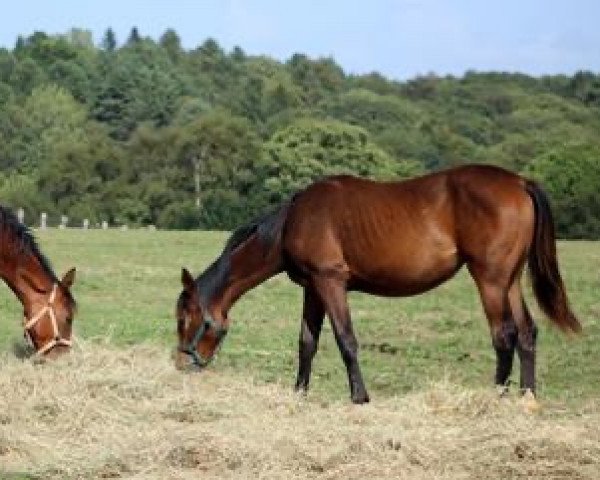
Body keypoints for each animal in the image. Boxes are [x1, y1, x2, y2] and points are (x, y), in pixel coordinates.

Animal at [176, 164, 580, 402]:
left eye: (184, 319)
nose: (181, 363)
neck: (293, 221)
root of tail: (520, 182)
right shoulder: (313, 289)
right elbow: (307, 342)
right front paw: (299, 392)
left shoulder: (330, 283)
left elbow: (346, 340)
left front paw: (360, 397)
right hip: (510, 281)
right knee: (527, 333)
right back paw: (527, 397)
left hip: (490, 279)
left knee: (505, 335)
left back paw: (496, 396)